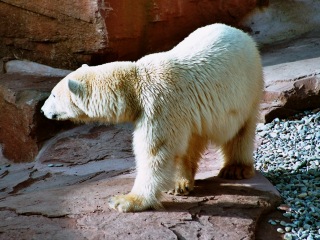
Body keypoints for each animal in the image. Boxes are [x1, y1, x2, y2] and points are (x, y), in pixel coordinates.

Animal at [41, 23, 264, 212]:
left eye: (53, 95)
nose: (42, 110)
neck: (135, 83)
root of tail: (240, 32)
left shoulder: (159, 105)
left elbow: (155, 153)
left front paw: (125, 201)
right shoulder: (172, 111)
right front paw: (176, 184)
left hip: (247, 88)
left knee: (241, 130)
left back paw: (235, 169)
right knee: (192, 139)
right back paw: (182, 182)